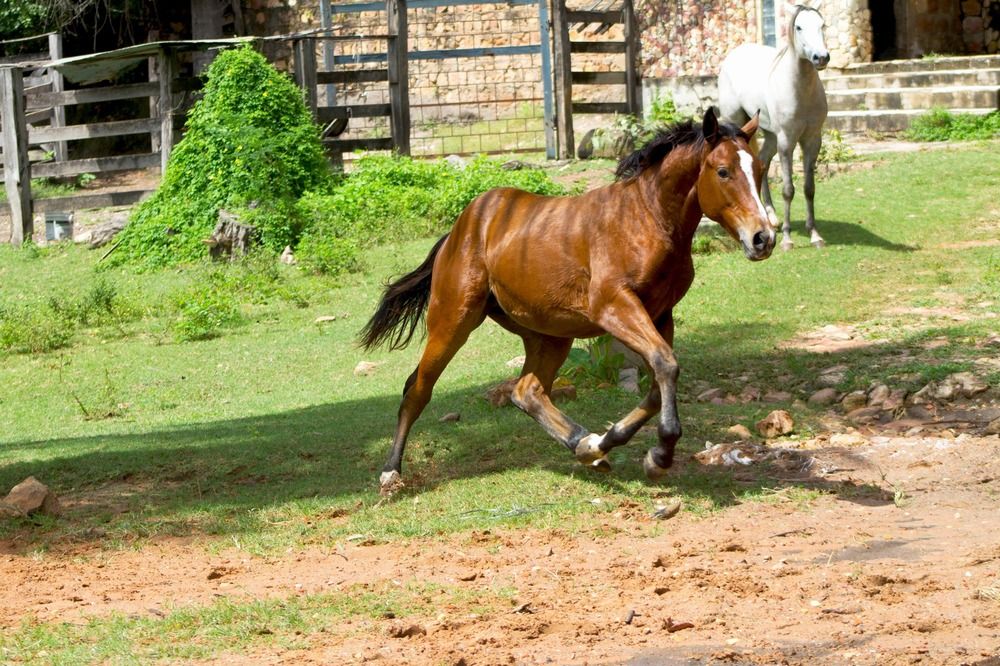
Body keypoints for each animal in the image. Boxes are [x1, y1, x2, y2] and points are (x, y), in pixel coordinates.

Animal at [360, 109, 775, 495]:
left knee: (526, 391)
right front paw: (659, 456)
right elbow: (666, 365)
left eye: (759, 169)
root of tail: (458, 230)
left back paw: (586, 446)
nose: (763, 238)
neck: (647, 219)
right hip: (453, 321)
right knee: (417, 388)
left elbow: (659, 382)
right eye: (723, 171)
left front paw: (616, 445)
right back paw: (390, 473)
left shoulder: (660, 315)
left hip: (549, 334)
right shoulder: (614, 307)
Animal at [718, 4, 830, 250]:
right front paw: (787, 239)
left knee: (761, 163)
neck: (800, 91)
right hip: (739, 124)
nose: (821, 57)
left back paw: (771, 217)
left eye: (822, 25)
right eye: (799, 27)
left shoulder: (812, 140)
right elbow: (788, 190)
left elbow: (809, 188)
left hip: (770, 135)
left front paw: (815, 235)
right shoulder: (787, 141)